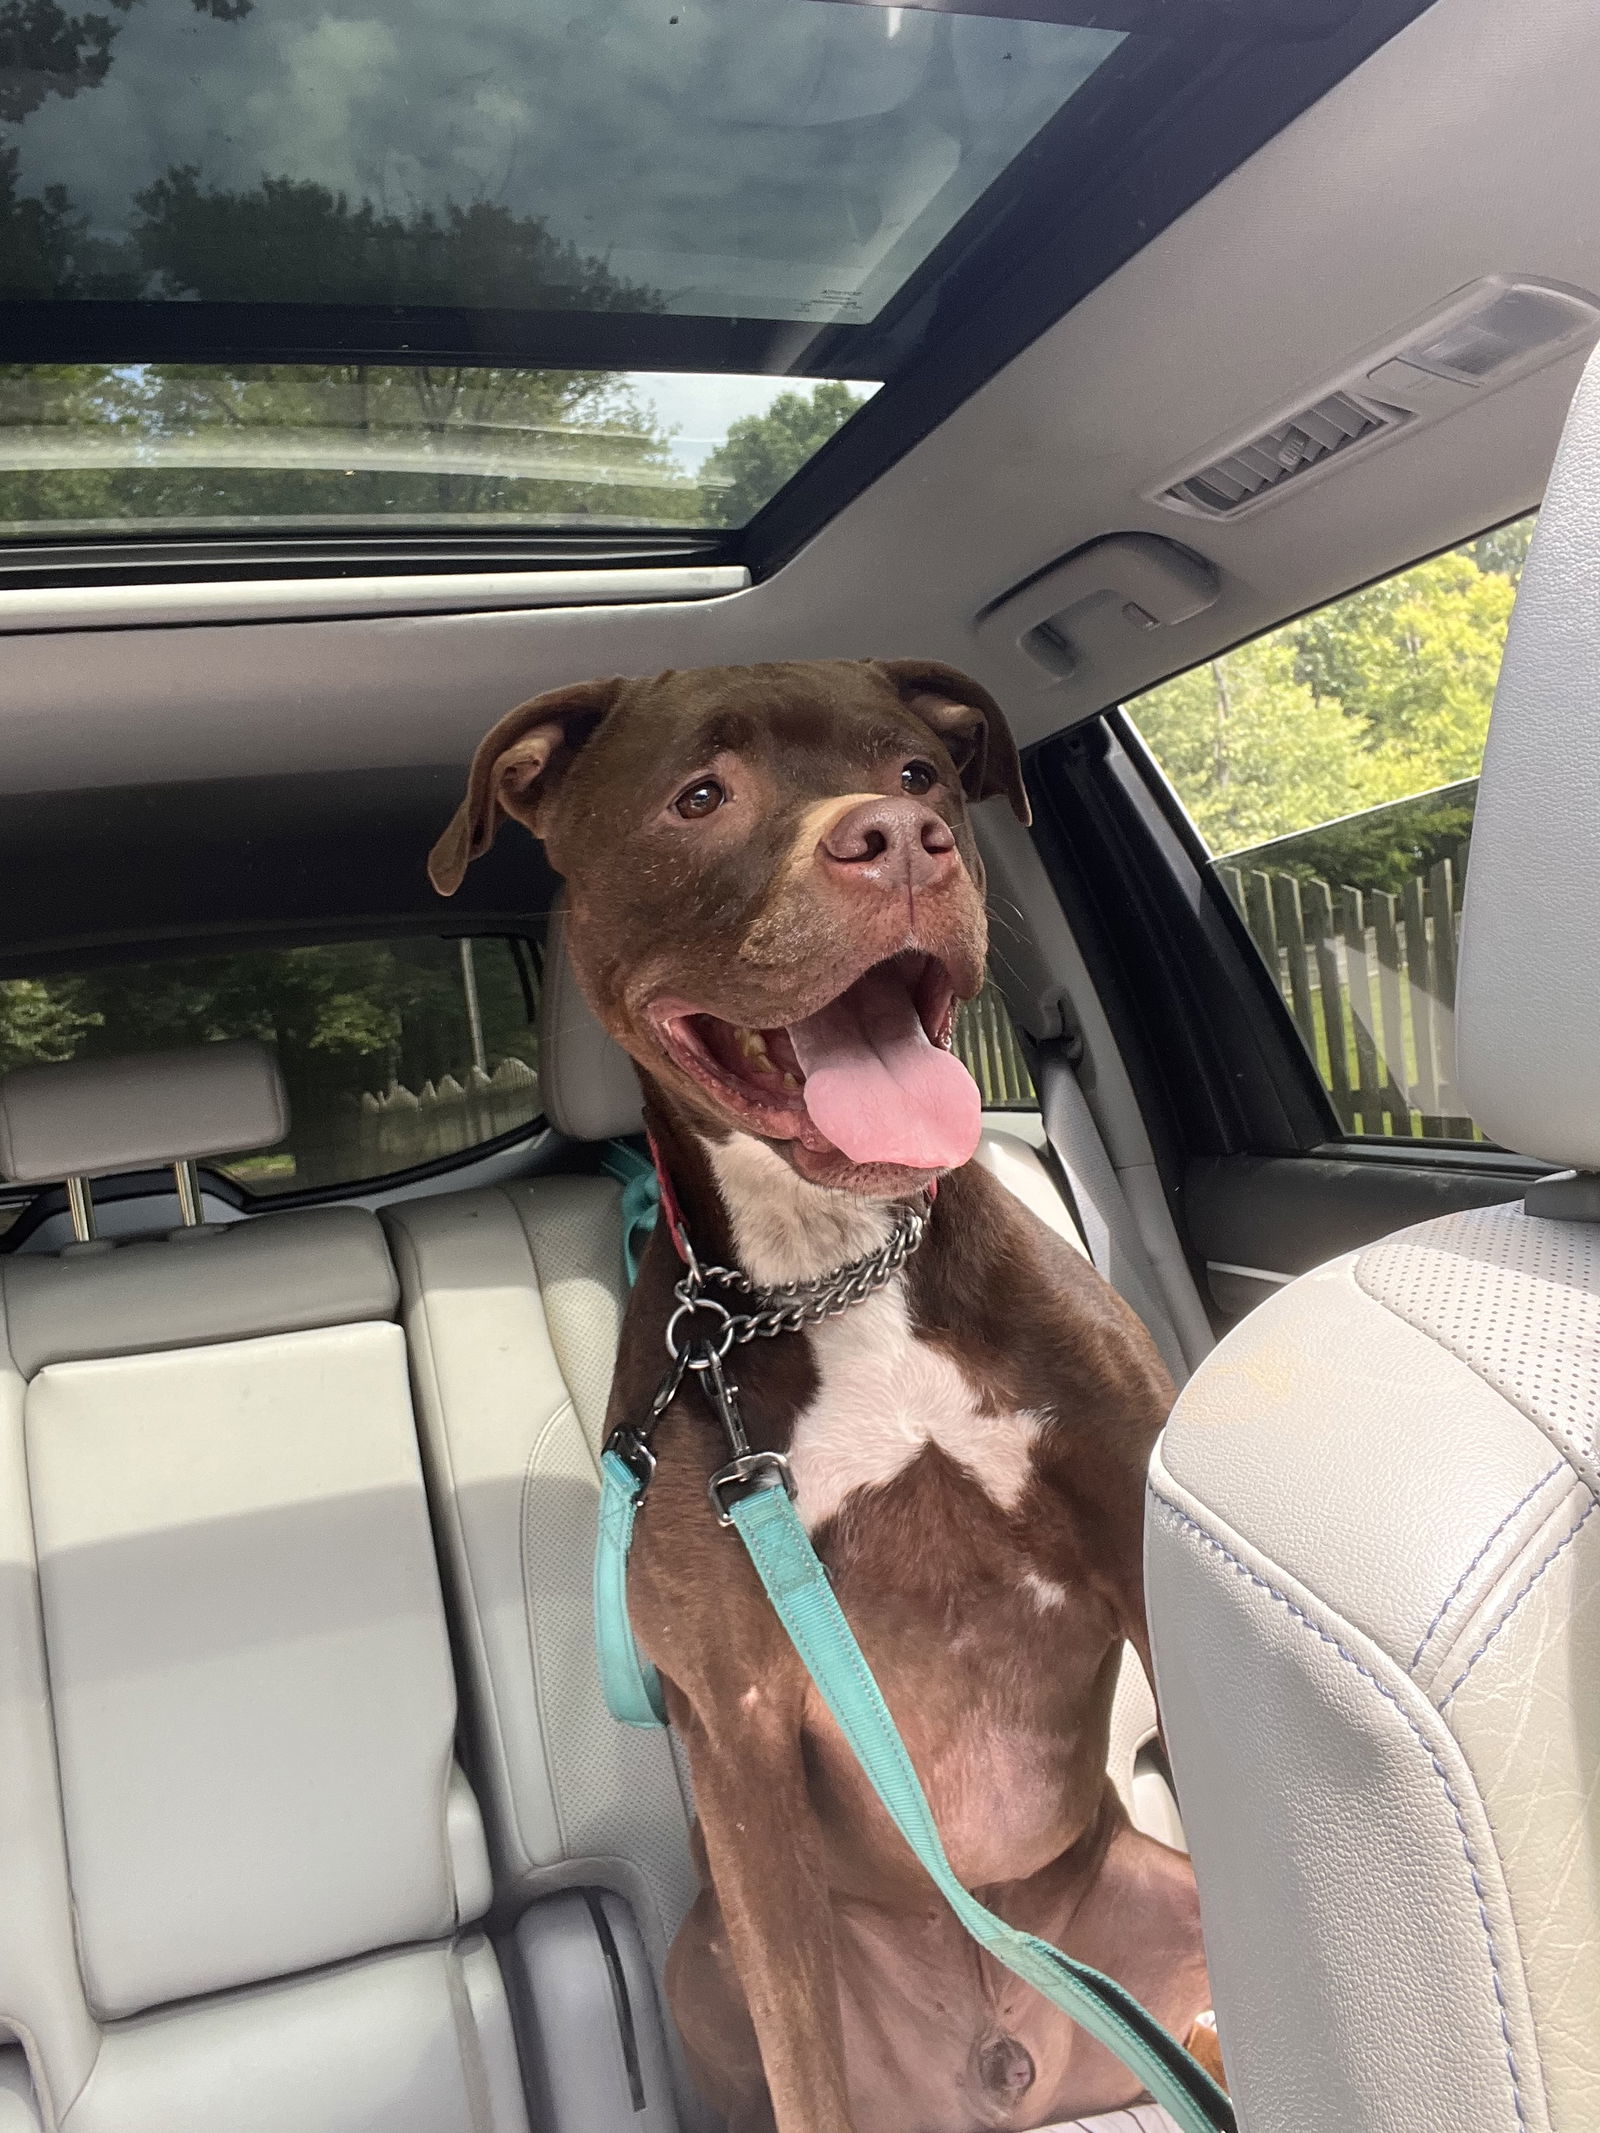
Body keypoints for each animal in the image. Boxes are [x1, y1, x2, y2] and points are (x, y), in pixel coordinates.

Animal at [428, 656, 1211, 2124]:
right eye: (698, 797)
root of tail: (1007, 2056)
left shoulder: (1141, 1550)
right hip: (702, 1963)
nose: (901, 839)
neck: (831, 1268)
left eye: (918, 772)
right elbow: (804, 2058)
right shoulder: (735, 1724)